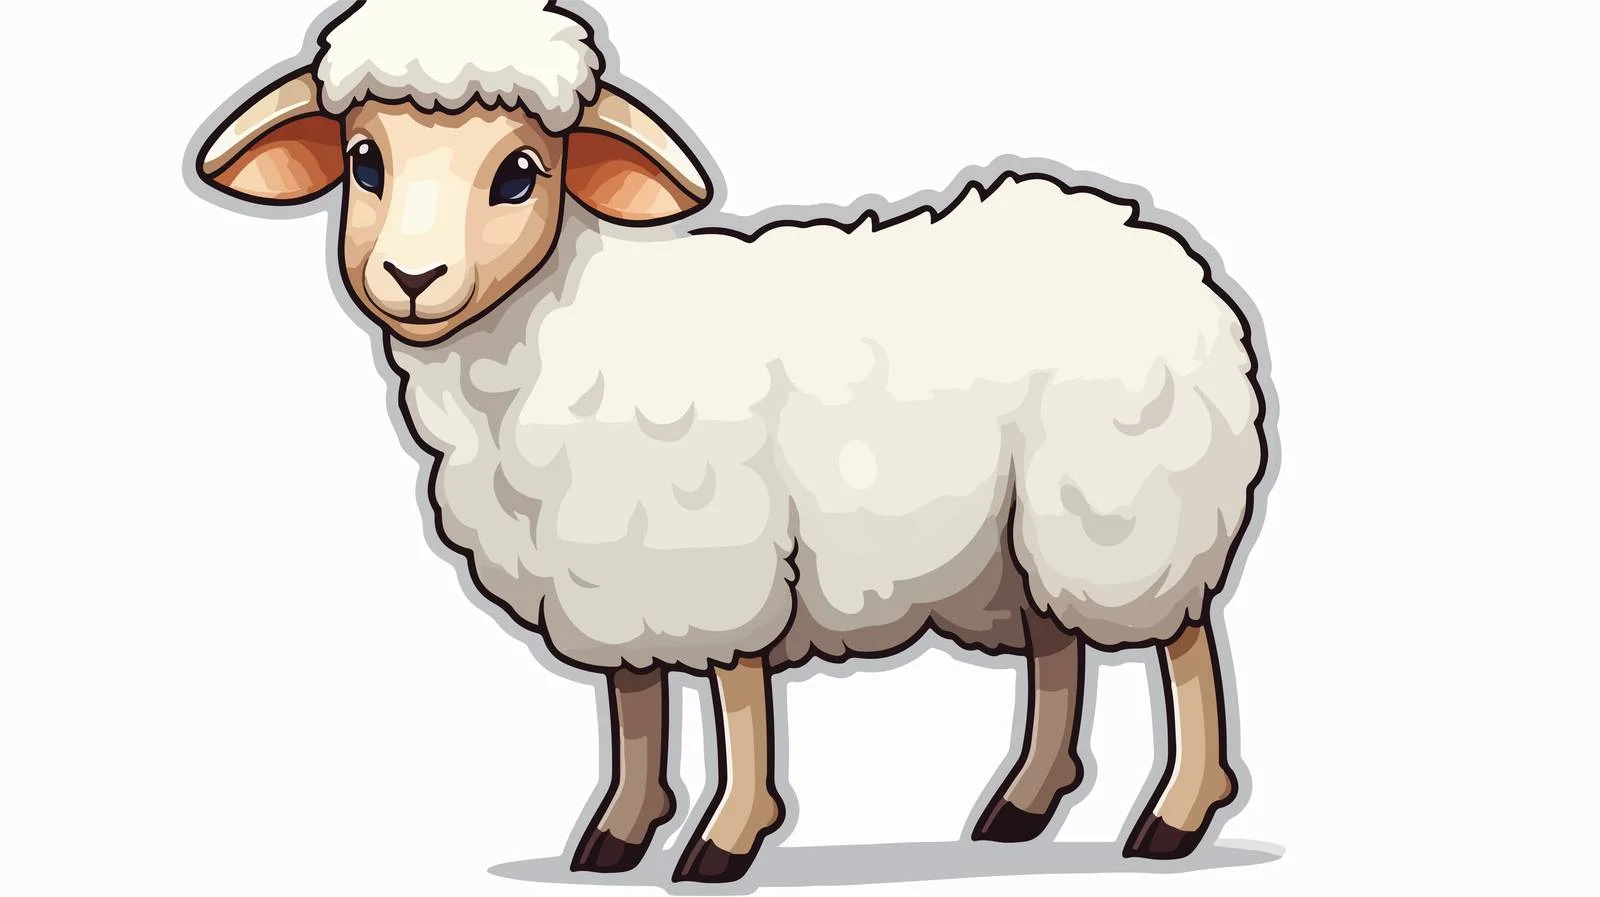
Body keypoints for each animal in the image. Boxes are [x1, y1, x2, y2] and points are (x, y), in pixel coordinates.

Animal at [193, 0, 1269, 883]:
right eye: (364, 163)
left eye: (519, 173)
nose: (412, 279)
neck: (553, 329)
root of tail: (1150, 244)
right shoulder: (609, 568)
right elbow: (633, 704)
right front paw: (618, 833)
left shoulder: (716, 553)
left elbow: (737, 701)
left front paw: (725, 838)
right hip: (1022, 536)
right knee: (1056, 647)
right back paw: (1021, 804)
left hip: (1125, 507)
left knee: (1183, 647)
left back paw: (1176, 816)